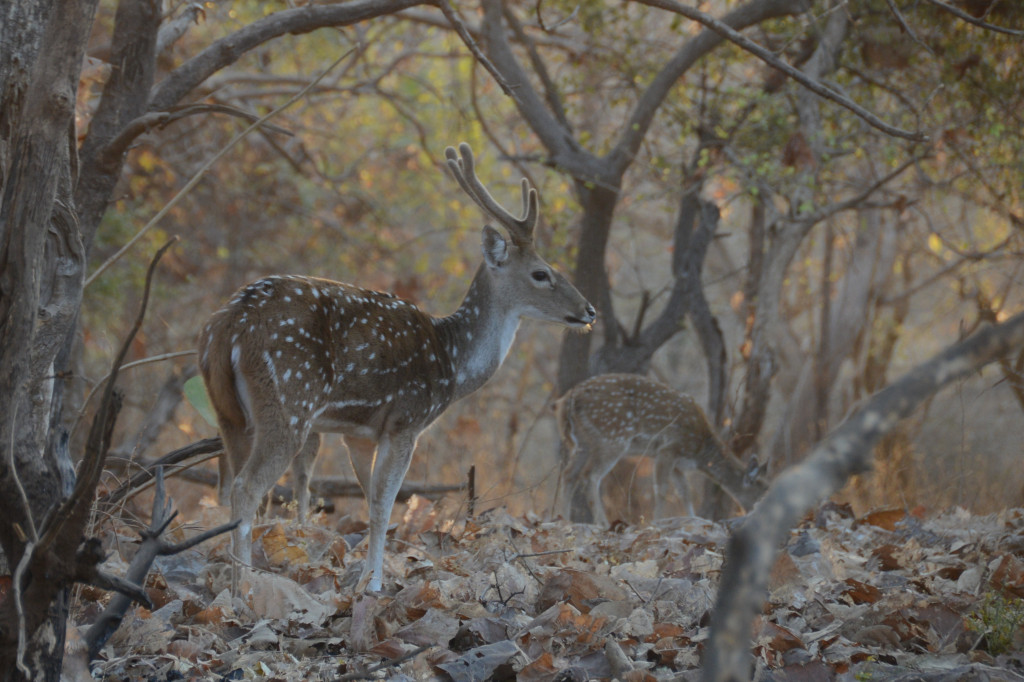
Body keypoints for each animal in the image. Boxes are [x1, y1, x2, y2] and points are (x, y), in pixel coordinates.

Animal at [196, 143, 598, 589]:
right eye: (541, 273)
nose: (589, 310)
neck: (452, 364)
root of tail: (228, 325)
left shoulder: (359, 432)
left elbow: (371, 498)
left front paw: (365, 578)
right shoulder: (407, 420)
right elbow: (383, 506)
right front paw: (375, 585)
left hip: (228, 412)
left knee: (229, 484)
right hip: (288, 403)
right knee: (247, 487)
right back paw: (244, 585)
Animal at [557, 374, 765, 522]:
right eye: (763, 491)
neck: (700, 451)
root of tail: (567, 402)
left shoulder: (678, 464)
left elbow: (685, 492)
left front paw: (693, 518)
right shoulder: (669, 448)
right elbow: (662, 489)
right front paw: (656, 521)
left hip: (582, 443)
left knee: (569, 474)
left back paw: (564, 519)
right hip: (612, 437)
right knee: (591, 476)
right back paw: (603, 522)